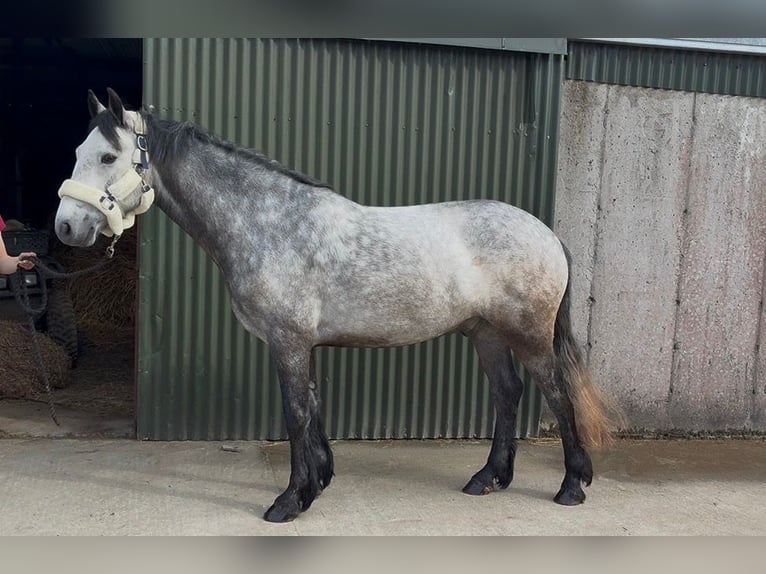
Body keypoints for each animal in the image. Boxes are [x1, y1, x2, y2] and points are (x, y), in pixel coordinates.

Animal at [54, 88, 614, 523]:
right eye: (78, 149)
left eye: (107, 157)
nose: (66, 226)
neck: (267, 222)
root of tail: (546, 233)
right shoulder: (305, 344)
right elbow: (313, 408)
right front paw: (317, 482)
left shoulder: (288, 342)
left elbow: (295, 413)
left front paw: (288, 501)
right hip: (486, 333)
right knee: (506, 394)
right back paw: (488, 478)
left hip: (528, 335)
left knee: (557, 394)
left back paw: (571, 486)